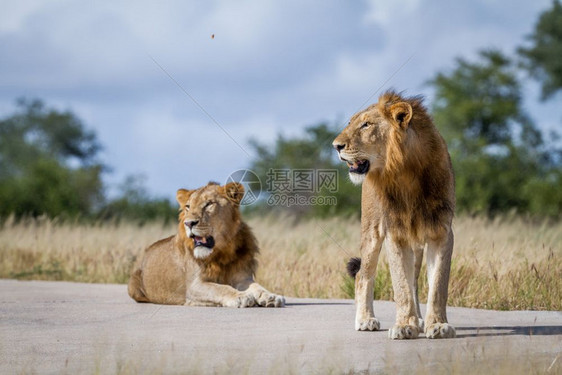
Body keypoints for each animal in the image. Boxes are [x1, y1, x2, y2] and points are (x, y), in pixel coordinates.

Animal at [332, 91, 456, 340]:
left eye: (366, 125)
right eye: (350, 122)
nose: (336, 146)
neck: (405, 172)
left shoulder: (442, 232)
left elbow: (438, 284)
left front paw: (437, 325)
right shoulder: (395, 233)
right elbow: (401, 284)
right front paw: (405, 326)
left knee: (415, 280)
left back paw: (420, 319)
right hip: (371, 232)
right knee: (363, 276)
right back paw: (365, 320)